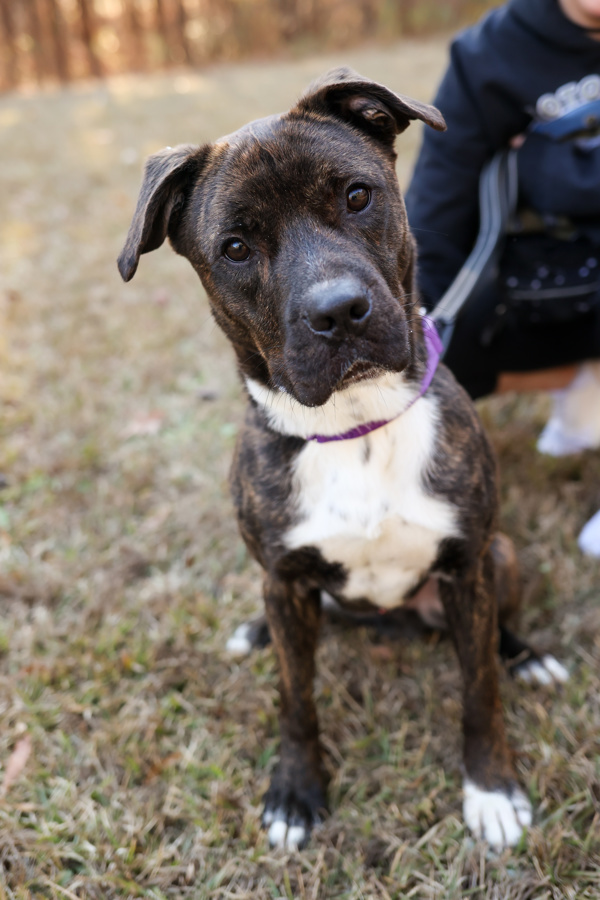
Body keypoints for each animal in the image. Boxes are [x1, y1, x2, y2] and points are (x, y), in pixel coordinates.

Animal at [118, 68, 568, 852]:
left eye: (357, 196)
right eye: (235, 247)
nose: (337, 311)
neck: (355, 426)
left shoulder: (466, 567)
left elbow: (478, 686)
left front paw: (490, 788)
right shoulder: (286, 580)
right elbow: (296, 700)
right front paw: (297, 793)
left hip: (501, 555)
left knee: (494, 633)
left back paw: (526, 653)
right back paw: (255, 631)